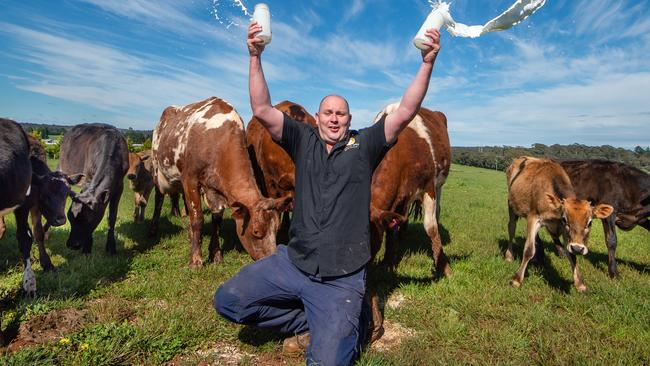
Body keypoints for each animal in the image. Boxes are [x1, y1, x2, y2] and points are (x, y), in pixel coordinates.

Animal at [58, 123, 129, 254]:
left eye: (87, 220)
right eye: (70, 218)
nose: (71, 245)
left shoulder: (119, 186)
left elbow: (112, 216)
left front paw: (111, 247)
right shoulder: (87, 179)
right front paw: (87, 247)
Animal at [149, 96, 288, 268]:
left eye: (277, 229)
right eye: (256, 232)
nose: (271, 260)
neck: (218, 140)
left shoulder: (215, 191)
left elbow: (217, 221)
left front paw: (215, 254)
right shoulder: (190, 179)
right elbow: (197, 218)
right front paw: (195, 260)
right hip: (157, 169)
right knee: (159, 199)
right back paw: (153, 230)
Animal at [364, 103, 450, 344]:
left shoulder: (429, 187)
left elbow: (431, 227)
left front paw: (443, 266)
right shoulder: (398, 199)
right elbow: (392, 229)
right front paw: (388, 262)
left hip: (439, 185)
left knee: (436, 216)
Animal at [506, 157, 612, 292]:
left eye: (590, 222)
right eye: (565, 219)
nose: (578, 248)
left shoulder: (566, 233)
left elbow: (571, 255)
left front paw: (580, 283)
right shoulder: (534, 217)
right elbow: (529, 249)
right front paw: (517, 279)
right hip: (511, 206)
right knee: (511, 229)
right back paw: (509, 255)